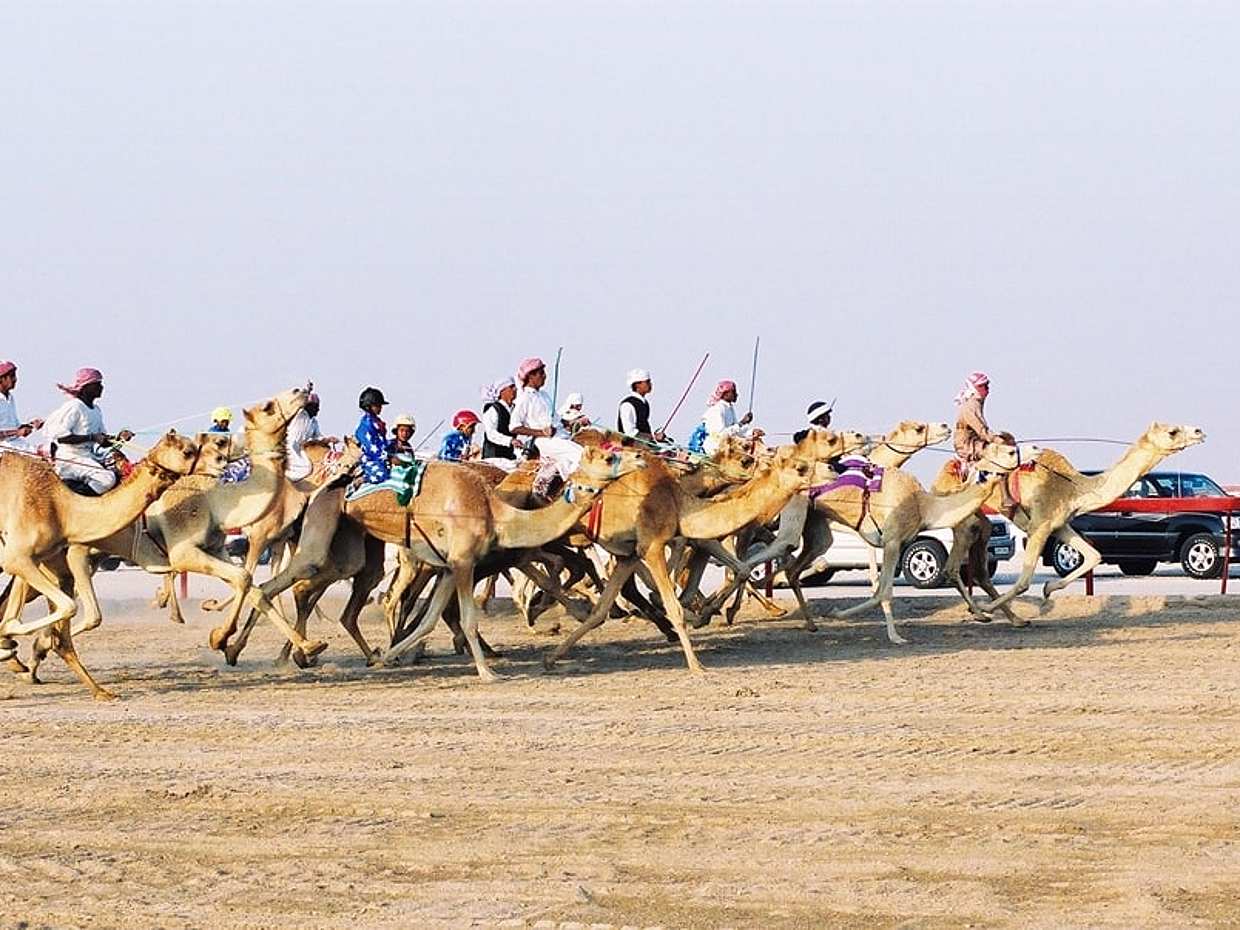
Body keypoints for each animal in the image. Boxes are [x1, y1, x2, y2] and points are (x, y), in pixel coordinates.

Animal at [0, 431, 213, 698]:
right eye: (187, 451)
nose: (219, 461)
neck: (64, 510)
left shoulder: (38, 562)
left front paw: (101, 691)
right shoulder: (27, 557)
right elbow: (70, 609)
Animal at [934, 422, 1205, 617]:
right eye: (1172, 431)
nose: (1199, 431)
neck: (1073, 488)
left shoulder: (1059, 524)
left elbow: (1094, 555)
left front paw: (1048, 589)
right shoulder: (1039, 526)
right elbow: (1024, 580)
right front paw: (986, 608)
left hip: (981, 517)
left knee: (979, 559)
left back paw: (1013, 619)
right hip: (959, 510)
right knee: (955, 561)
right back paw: (981, 612)